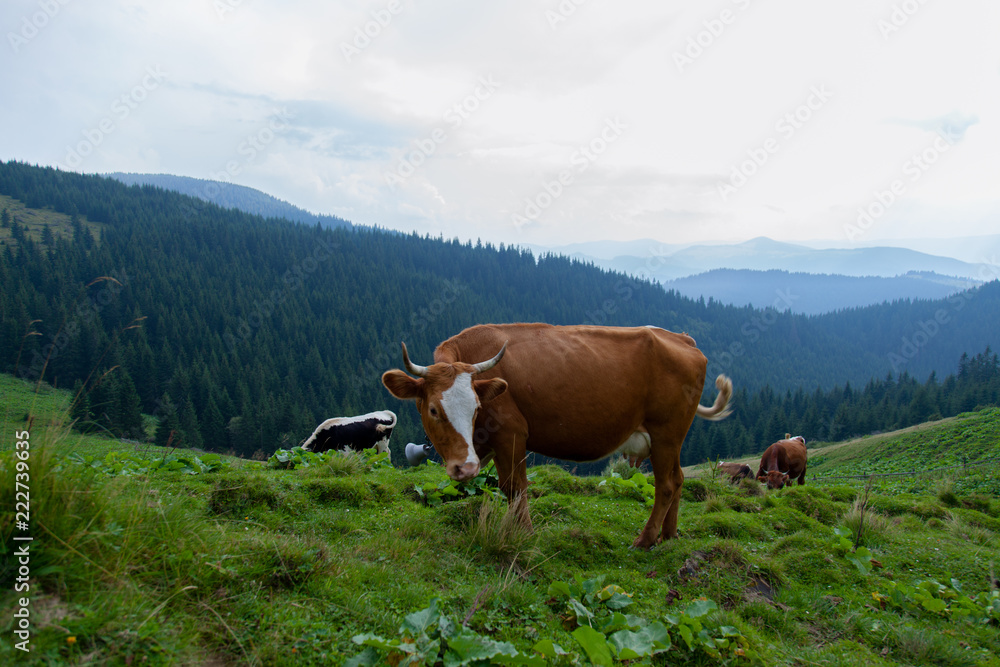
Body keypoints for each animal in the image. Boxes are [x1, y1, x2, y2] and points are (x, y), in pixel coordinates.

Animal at [381, 323, 733, 549]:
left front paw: (524, 533)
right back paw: (669, 536)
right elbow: (504, 486)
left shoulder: (512, 433)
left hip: (665, 433)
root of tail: (683, 339)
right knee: (679, 478)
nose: (464, 468)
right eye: (434, 410)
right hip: (672, 440)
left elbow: (516, 487)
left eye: (476, 407)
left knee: (667, 484)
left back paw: (645, 540)